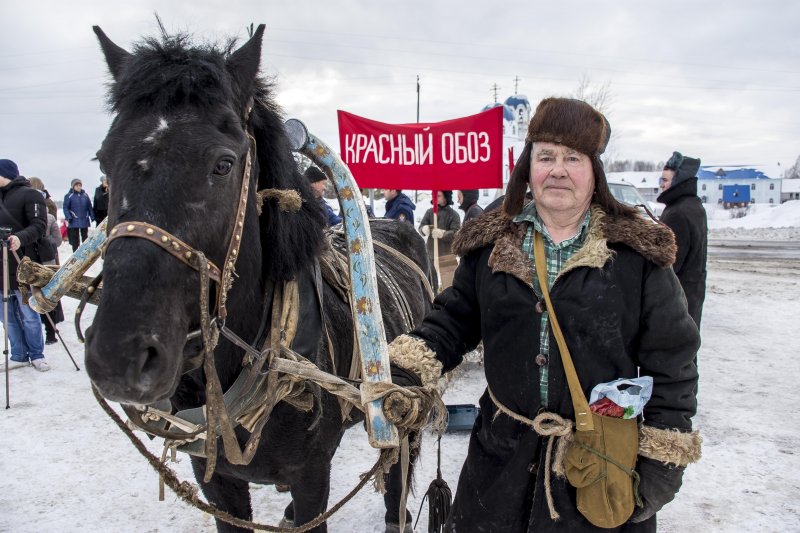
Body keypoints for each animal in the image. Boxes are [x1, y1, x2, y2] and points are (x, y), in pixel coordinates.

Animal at [85, 26, 434, 532]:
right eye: (103, 161)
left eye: (224, 163)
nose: (118, 357)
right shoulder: (214, 478)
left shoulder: (312, 475)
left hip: (404, 403)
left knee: (396, 472)